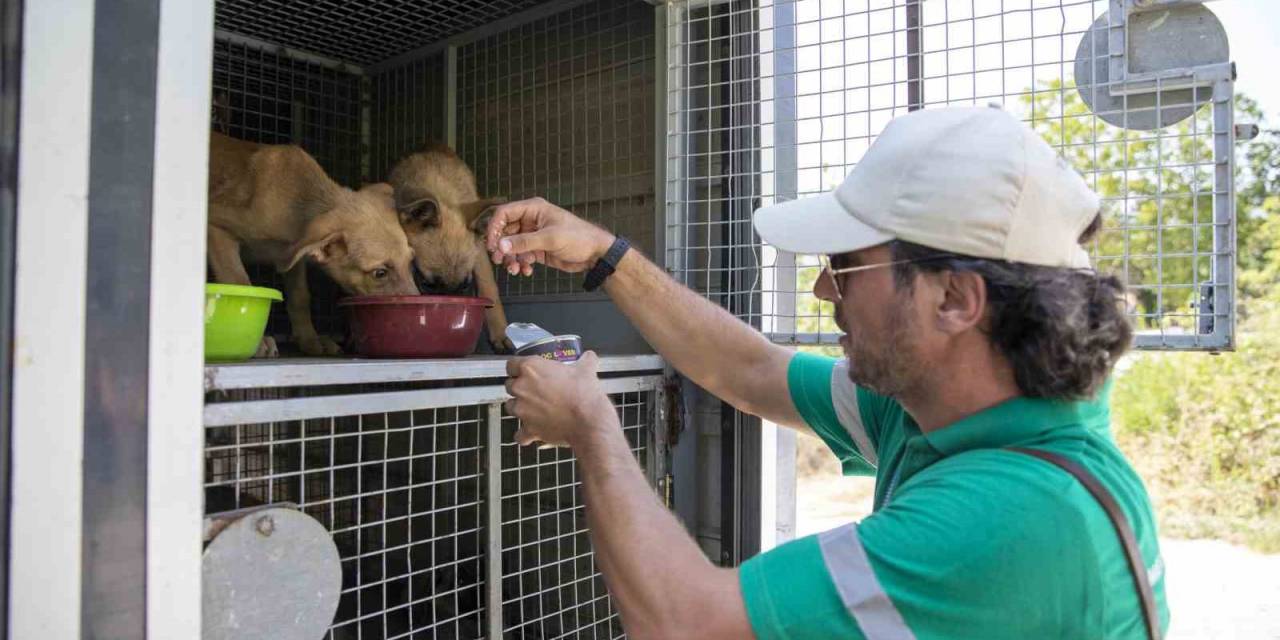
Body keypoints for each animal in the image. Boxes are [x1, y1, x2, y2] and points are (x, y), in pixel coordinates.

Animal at [206, 131, 414, 358]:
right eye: (380, 273)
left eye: (411, 262)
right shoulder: (217, 226)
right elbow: (238, 281)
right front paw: (256, 340)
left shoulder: (292, 257)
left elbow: (300, 297)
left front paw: (310, 339)